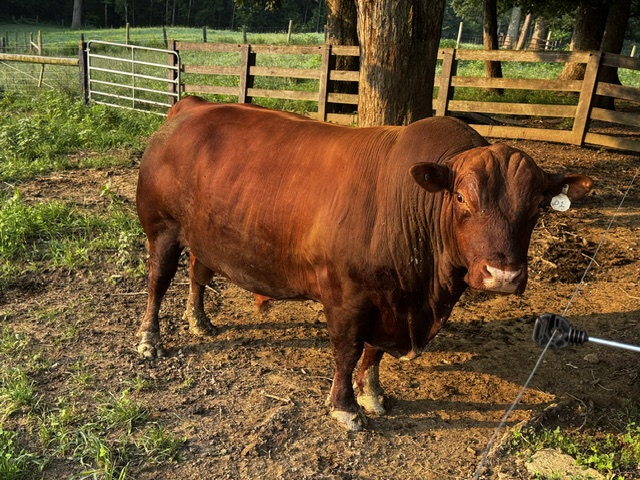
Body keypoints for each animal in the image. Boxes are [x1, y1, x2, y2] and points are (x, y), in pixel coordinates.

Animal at [136, 96, 592, 431]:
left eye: (536, 206)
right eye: (462, 198)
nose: (504, 275)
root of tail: (193, 105)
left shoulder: (392, 298)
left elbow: (374, 353)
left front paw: (371, 393)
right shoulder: (347, 298)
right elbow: (348, 350)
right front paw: (345, 406)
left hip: (204, 233)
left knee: (198, 272)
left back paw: (199, 320)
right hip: (162, 227)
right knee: (159, 280)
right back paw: (149, 339)